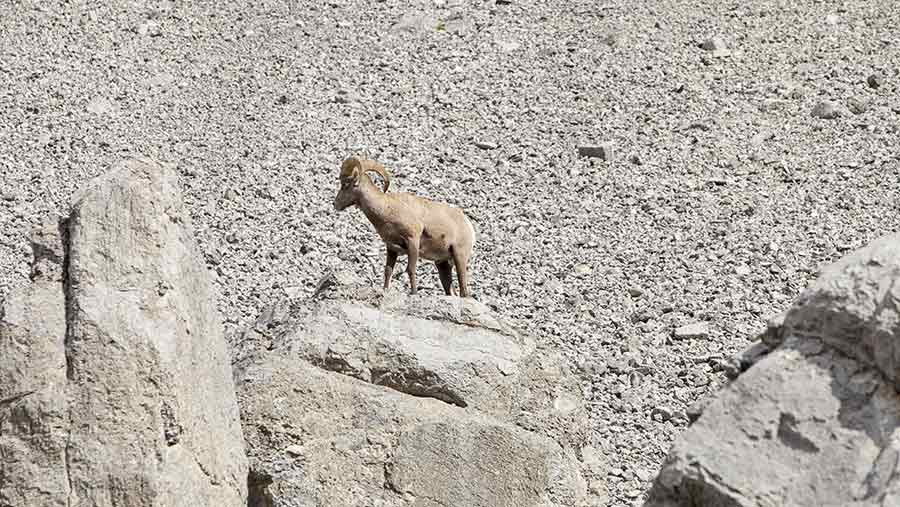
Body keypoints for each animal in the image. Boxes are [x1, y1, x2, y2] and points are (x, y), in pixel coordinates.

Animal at [332, 155, 478, 298]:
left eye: (345, 184)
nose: (335, 204)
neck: (388, 209)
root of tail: (467, 224)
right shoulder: (391, 248)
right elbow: (388, 270)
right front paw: (385, 290)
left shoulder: (412, 241)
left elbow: (410, 269)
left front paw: (414, 293)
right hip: (442, 264)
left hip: (459, 256)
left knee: (463, 290)